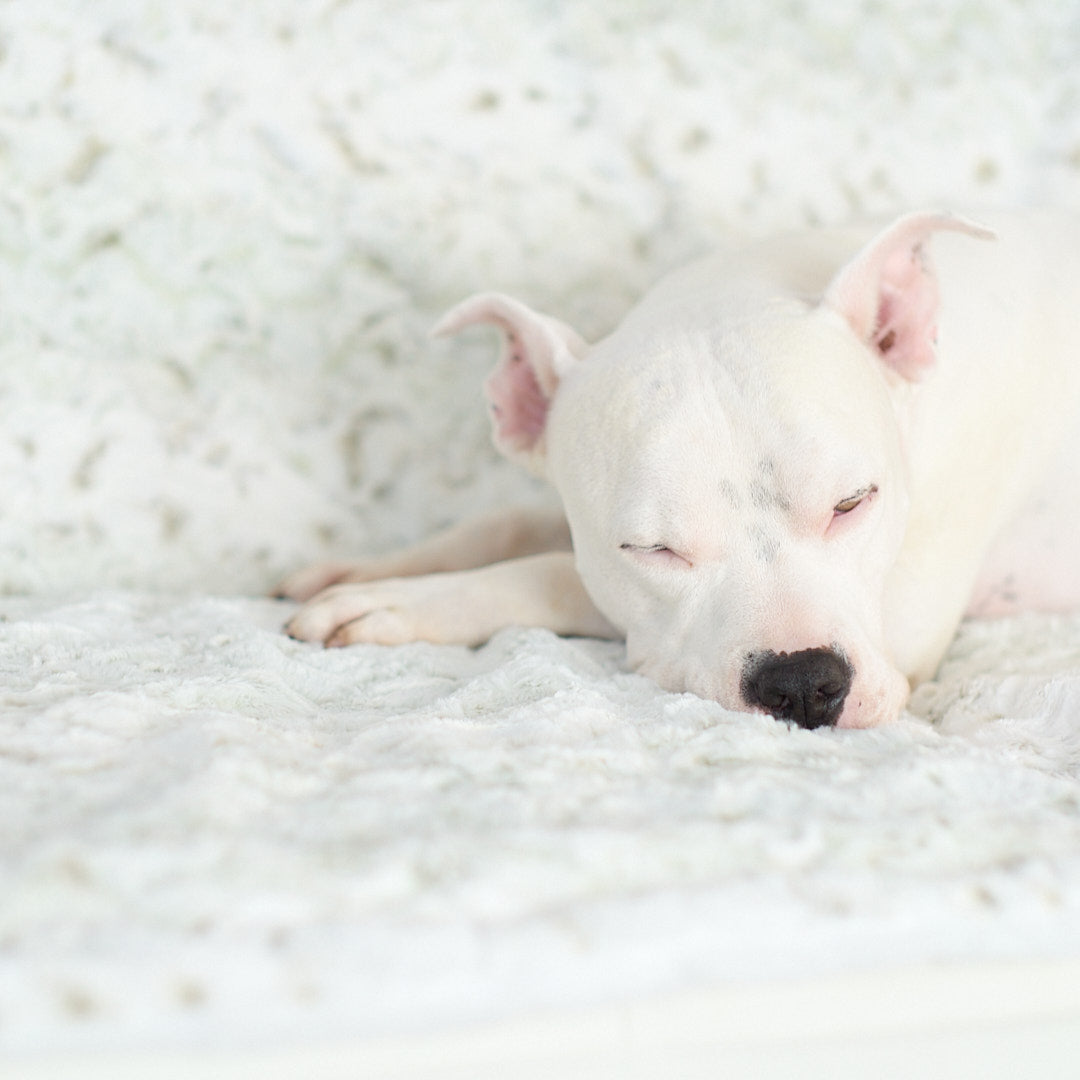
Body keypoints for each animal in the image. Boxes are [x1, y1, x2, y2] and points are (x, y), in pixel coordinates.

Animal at [278, 211, 1080, 730]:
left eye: (851, 503)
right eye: (652, 550)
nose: (801, 683)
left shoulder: (910, 609)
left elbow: (550, 573)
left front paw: (396, 602)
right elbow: (506, 519)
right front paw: (362, 571)